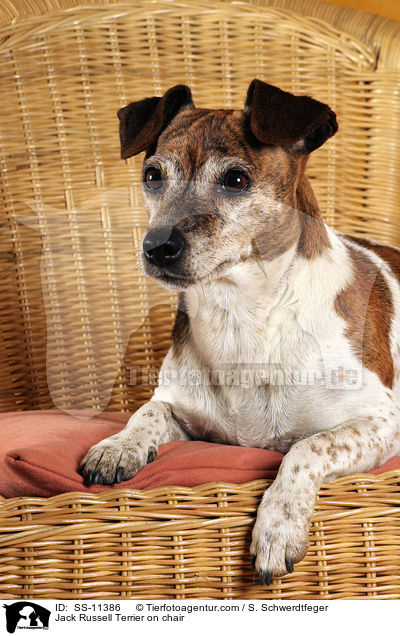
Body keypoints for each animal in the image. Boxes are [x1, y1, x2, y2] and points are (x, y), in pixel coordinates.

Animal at [79, 80, 400, 588]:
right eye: (153, 175)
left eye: (235, 180)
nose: (157, 247)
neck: (245, 319)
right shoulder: (185, 412)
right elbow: (147, 411)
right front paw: (118, 446)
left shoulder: (380, 423)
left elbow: (307, 446)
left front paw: (278, 525)